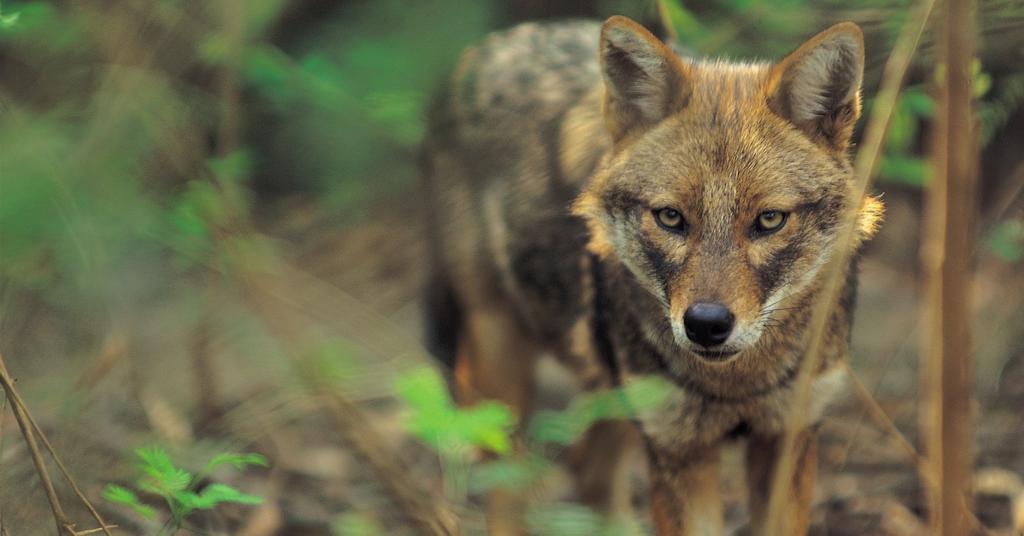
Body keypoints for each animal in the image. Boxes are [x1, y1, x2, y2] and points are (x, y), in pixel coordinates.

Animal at [421, 15, 883, 535]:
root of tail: (486, 48)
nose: (706, 324)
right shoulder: (679, 452)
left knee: (585, 467)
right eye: (670, 218)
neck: (736, 385)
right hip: (504, 366)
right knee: (506, 482)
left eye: (768, 220)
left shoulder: (787, 440)